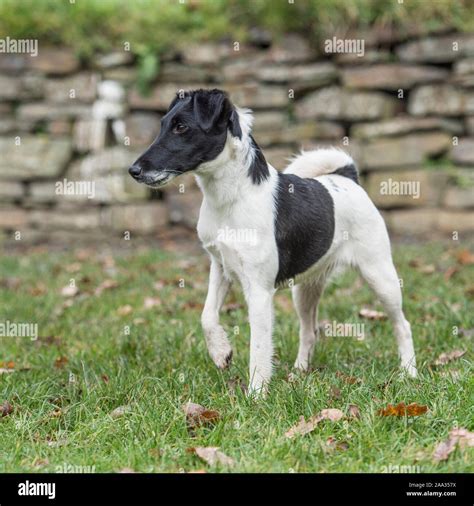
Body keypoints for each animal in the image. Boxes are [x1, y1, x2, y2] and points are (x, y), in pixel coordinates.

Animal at [130, 89, 418, 394]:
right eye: (163, 124)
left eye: (181, 127)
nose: (133, 170)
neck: (231, 197)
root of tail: (348, 178)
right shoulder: (220, 268)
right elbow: (207, 316)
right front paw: (221, 353)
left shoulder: (259, 291)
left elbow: (258, 347)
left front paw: (256, 394)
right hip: (305, 291)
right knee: (309, 331)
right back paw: (299, 372)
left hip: (380, 276)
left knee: (403, 324)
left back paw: (409, 372)